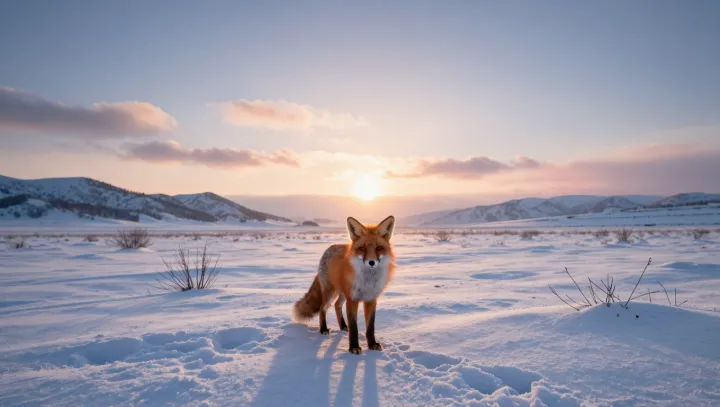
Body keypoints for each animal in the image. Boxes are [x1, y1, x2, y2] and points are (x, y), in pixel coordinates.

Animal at [293, 215, 396, 354]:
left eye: (378, 248)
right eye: (362, 248)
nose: (371, 262)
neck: (368, 281)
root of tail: (329, 248)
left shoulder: (371, 299)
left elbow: (370, 326)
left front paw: (372, 344)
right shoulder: (352, 299)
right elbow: (354, 327)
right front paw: (353, 347)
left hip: (342, 294)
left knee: (337, 305)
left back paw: (343, 326)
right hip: (330, 293)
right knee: (322, 308)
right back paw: (323, 329)